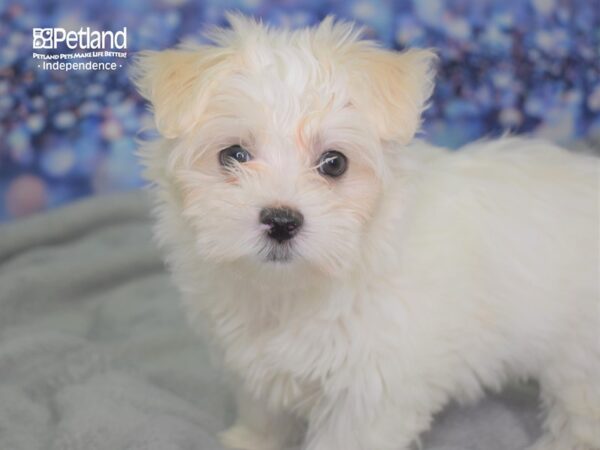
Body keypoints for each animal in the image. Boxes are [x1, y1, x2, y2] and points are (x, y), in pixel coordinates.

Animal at [135, 14, 600, 450]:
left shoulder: (372, 390)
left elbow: (348, 436)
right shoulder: (252, 362)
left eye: (334, 163)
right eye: (233, 155)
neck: (292, 290)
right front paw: (249, 440)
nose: (282, 221)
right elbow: (264, 411)